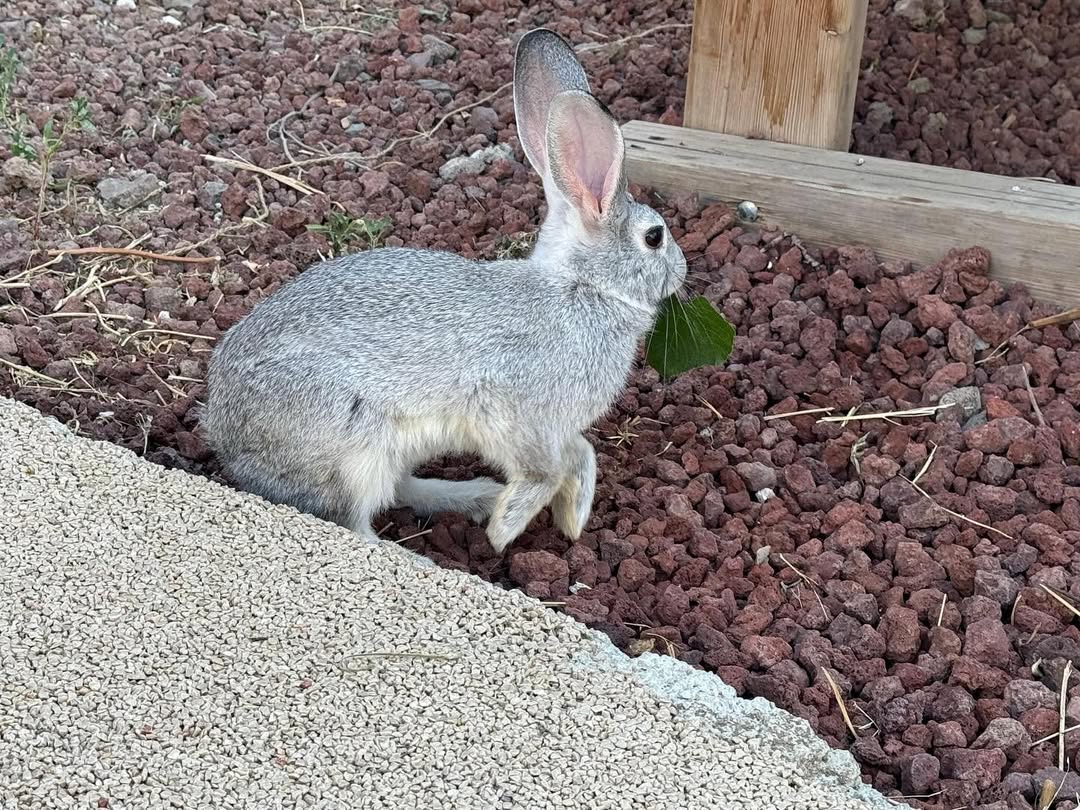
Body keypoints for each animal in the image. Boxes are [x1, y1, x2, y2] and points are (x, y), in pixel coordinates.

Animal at [204, 28, 682, 557]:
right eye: (654, 237)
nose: (681, 271)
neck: (584, 285)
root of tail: (225, 438)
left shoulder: (554, 428)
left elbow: (581, 453)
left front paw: (569, 519)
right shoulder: (510, 409)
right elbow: (548, 467)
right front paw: (506, 529)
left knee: (399, 490)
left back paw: (475, 496)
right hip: (354, 450)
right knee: (354, 522)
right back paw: (429, 551)